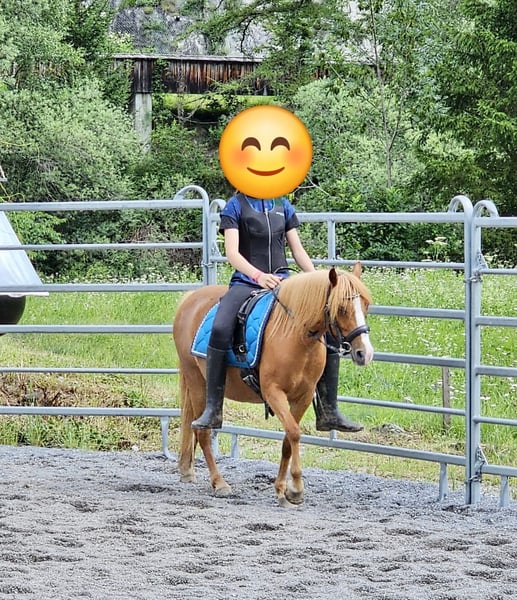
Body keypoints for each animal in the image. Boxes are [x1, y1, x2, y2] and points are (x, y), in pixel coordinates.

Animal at [172, 263, 374, 507]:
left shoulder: (303, 396)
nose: (365, 353)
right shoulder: (273, 392)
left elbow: (289, 437)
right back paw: (219, 483)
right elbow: (294, 433)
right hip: (196, 381)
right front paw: (295, 489)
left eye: (365, 305)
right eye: (342, 308)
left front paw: (282, 489)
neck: (295, 335)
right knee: (202, 431)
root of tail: (190, 298)